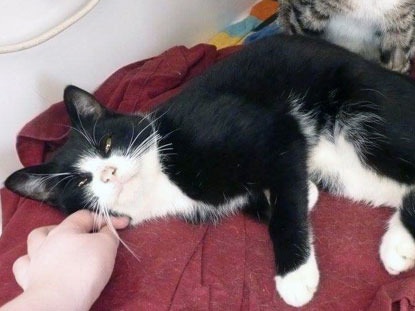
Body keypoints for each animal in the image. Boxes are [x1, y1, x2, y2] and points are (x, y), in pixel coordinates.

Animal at [4, 35, 415, 308]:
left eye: (105, 143)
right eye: (80, 181)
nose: (108, 174)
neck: (161, 175)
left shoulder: (271, 131)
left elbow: (284, 205)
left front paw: (294, 275)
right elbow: (278, 195)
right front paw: (300, 196)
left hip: (366, 114)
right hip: (350, 174)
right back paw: (399, 243)